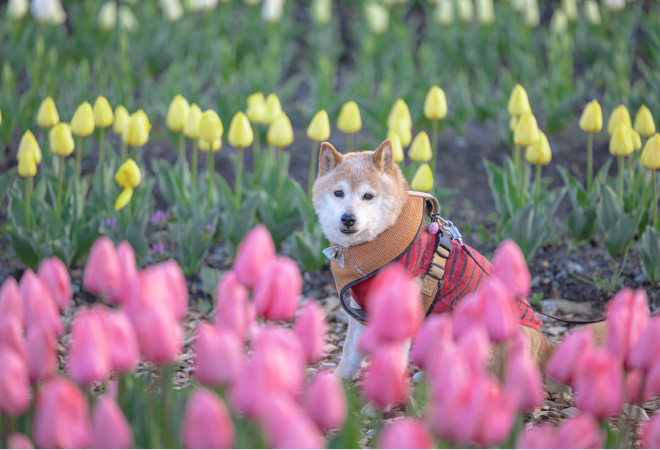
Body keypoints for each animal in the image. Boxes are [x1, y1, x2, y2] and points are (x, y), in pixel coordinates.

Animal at [312, 139, 604, 382]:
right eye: (339, 193)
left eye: (368, 196)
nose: (348, 219)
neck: (379, 245)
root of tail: (545, 346)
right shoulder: (360, 312)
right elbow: (350, 354)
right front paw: (337, 384)